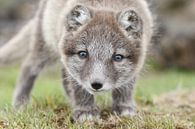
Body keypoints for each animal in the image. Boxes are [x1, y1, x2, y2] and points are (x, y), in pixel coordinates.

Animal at [0, 0, 152, 122]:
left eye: (118, 57)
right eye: (83, 54)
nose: (96, 85)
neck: (104, 4)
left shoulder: (135, 66)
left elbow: (126, 87)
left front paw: (124, 108)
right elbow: (80, 88)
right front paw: (86, 112)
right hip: (45, 45)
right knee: (28, 67)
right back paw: (20, 104)